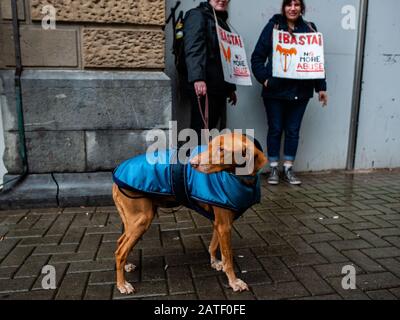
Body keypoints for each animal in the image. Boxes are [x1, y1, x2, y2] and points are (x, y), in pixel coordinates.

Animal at [112, 133, 268, 296]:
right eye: (209, 145)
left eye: (221, 149)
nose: (192, 164)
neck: (242, 178)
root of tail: (116, 172)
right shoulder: (224, 225)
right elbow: (228, 258)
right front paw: (233, 282)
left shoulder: (220, 223)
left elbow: (214, 245)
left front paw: (214, 262)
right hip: (141, 220)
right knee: (120, 252)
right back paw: (122, 284)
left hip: (134, 222)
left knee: (120, 242)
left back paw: (126, 266)